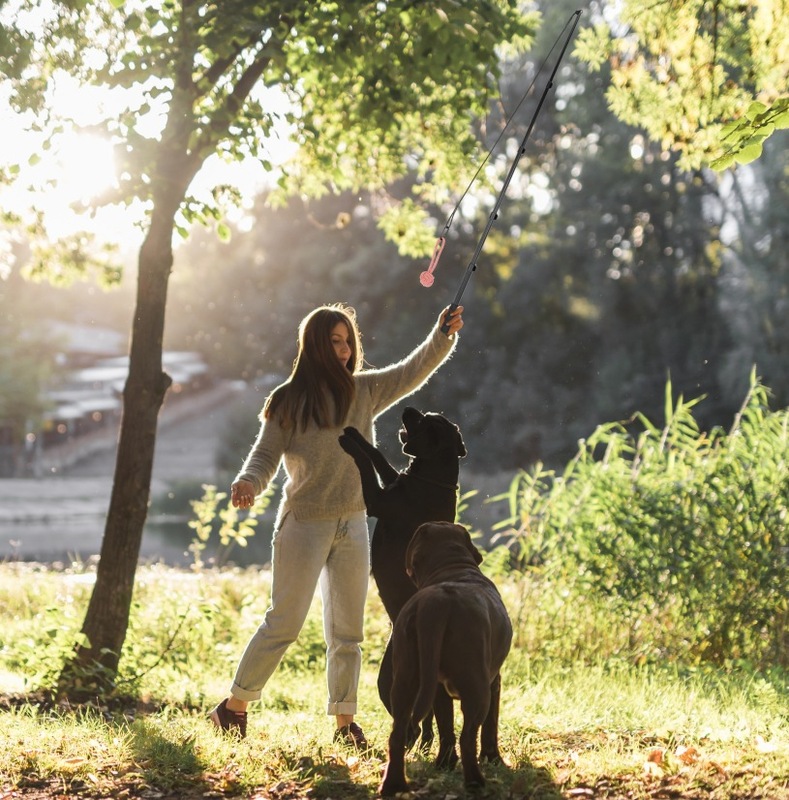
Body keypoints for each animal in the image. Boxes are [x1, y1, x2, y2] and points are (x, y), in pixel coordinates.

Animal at [338, 406, 462, 764]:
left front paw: (348, 445)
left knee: (414, 723)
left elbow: (367, 466)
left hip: (389, 683)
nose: (409, 409)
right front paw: (354, 434)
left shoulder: (378, 499)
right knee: (425, 722)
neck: (432, 478)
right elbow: (379, 457)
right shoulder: (393, 480)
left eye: (428, 422)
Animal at [380, 520, 516, 792]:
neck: (452, 568)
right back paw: (475, 782)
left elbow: (445, 727)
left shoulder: (438, 691)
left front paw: (444, 764)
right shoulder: (494, 682)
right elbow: (490, 727)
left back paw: (395, 784)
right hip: (477, 689)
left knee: (398, 734)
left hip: (405, 681)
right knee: (468, 737)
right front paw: (493, 758)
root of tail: (438, 604)